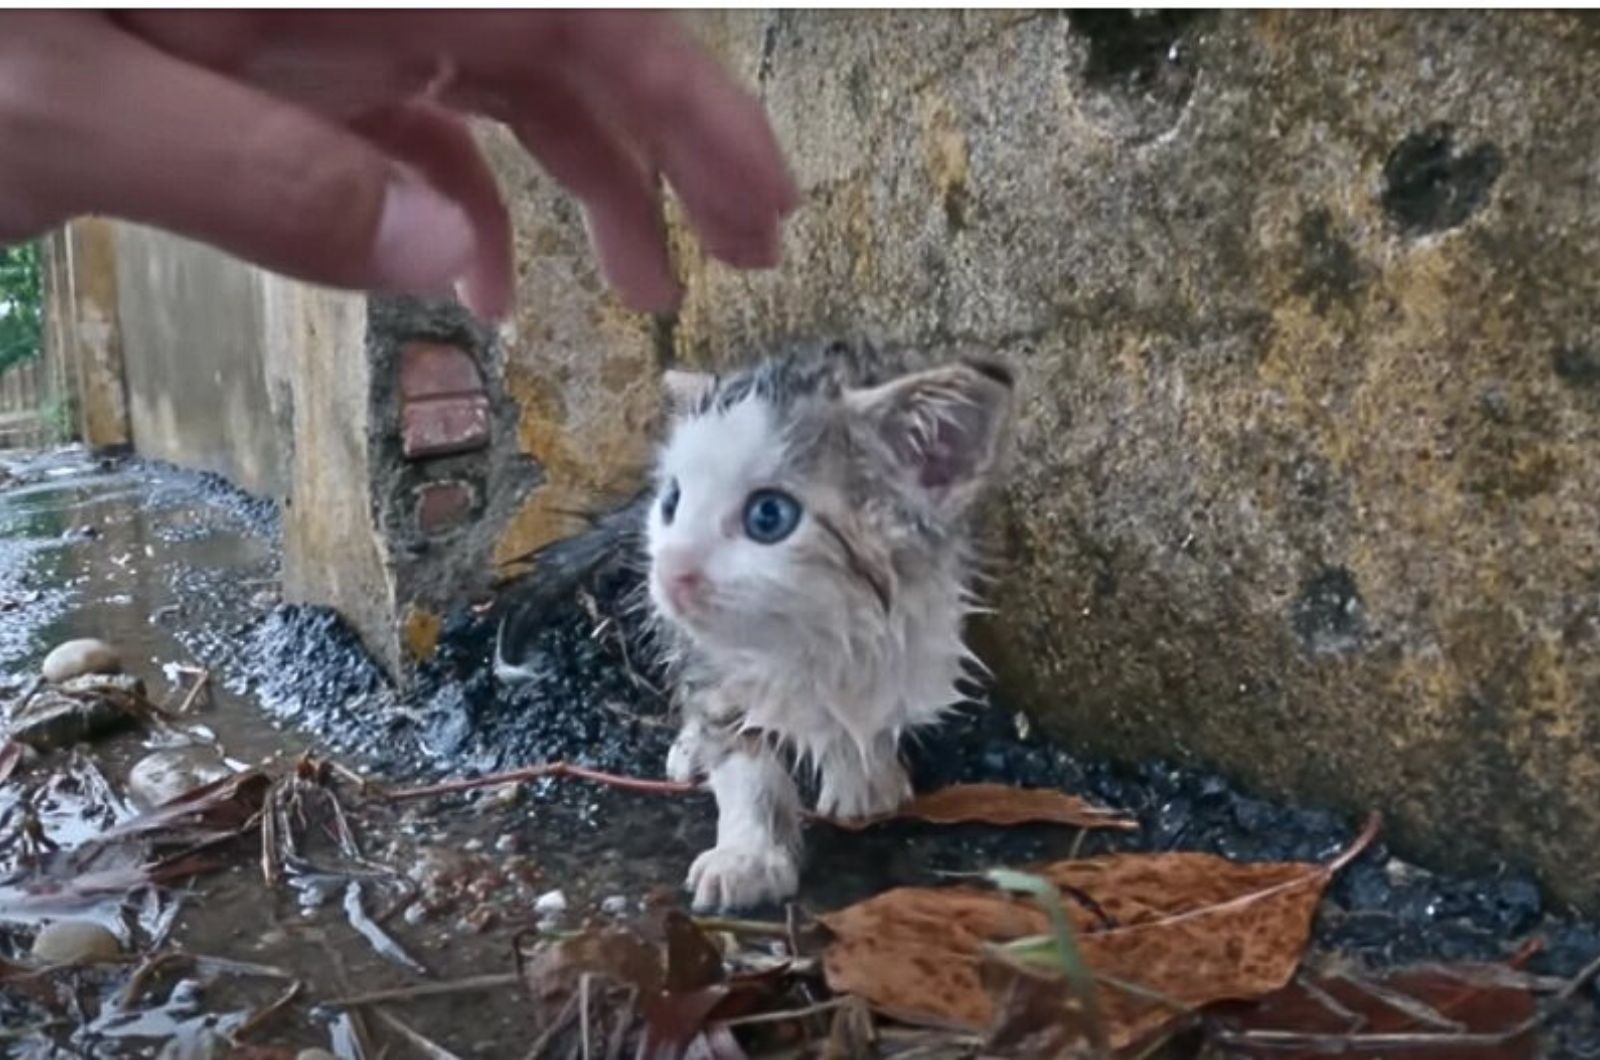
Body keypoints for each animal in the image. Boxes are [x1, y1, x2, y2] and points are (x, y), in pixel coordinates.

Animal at [492, 341, 1011, 915]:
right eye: (672, 502)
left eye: (769, 516)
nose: (671, 573)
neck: (807, 634)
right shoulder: (715, 667)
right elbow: (744, 763)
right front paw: (749, 858)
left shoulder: (917, 623)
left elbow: (867, 705)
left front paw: (863, 776)